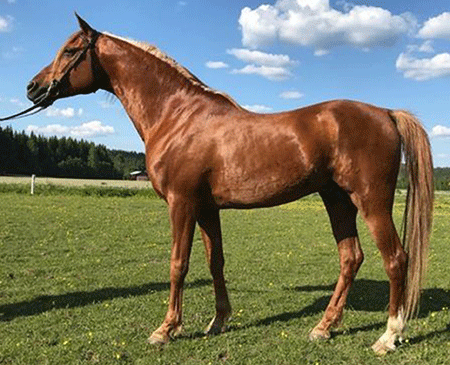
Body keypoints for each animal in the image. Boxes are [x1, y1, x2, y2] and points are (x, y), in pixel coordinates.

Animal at [26, 15, 434, 354]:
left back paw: (388, 336)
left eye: (71, 50)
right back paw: (324, 327)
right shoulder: (206, 208)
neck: (178, 117)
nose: (33, 88)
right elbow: (215, 262)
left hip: (371, 201)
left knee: (396, 259)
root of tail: (386, 113)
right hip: (336, 199)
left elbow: (178, 263)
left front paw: (165, 329)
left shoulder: (182, 203)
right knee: (351, 257)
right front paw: (218, 321)